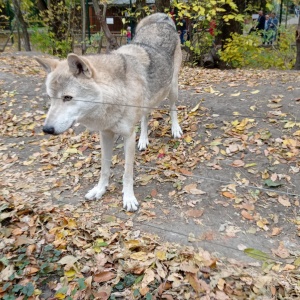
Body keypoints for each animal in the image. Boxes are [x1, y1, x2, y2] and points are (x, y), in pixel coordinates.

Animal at [35, 13, 180, 211]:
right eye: (51, 98)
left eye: (67, 98)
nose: (47, 129)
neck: (115, 95)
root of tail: (162, 18)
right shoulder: (105, 134)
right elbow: (104, 167)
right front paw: (100, 190)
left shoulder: (127, 136)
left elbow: (127, 173)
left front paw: (128, 198)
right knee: (145, 118)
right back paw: (143, 140)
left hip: (172, 89)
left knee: (173, 109)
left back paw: (175, 130)